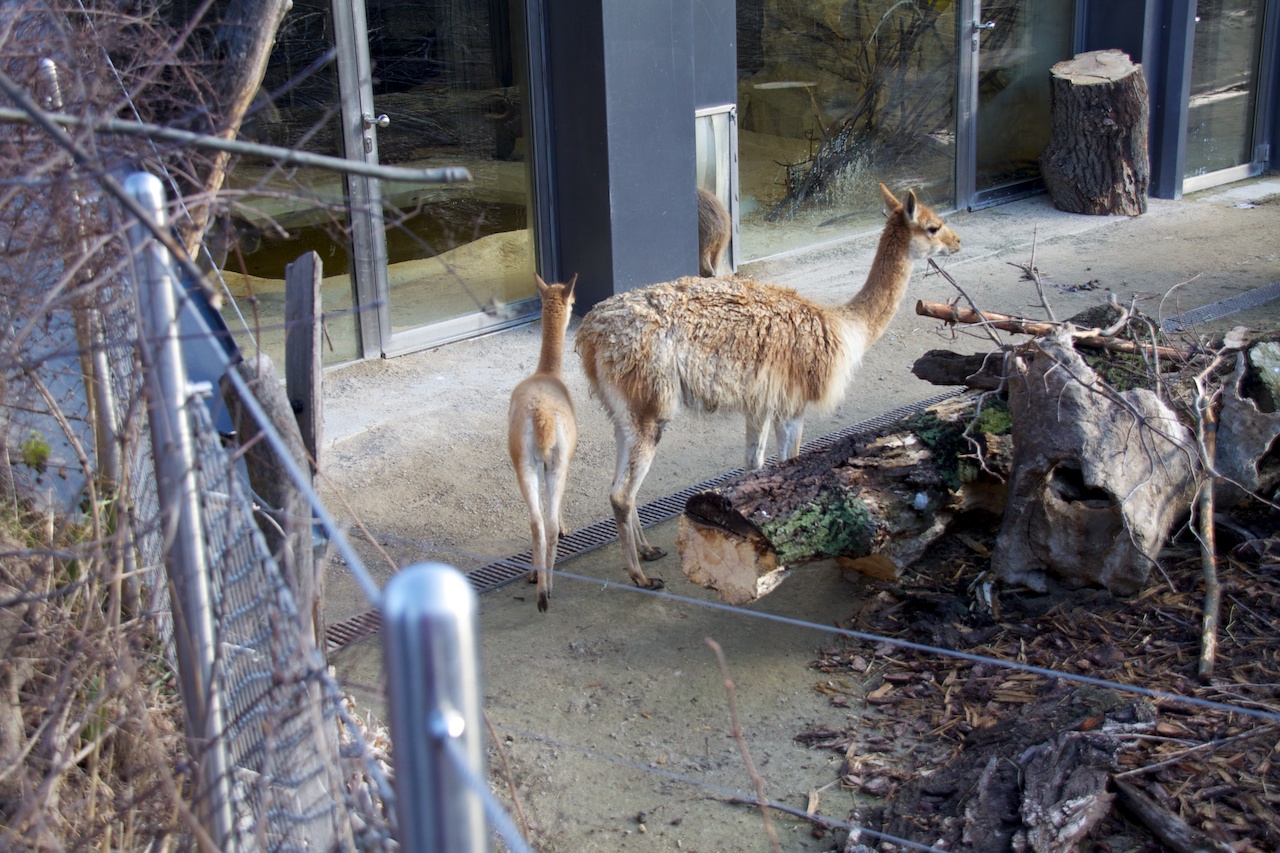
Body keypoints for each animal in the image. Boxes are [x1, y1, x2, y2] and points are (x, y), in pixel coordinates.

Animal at [575, 184, 960, 591]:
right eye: (933, 226)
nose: (957, 241)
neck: (844, 327)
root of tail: (591, 334)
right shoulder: (792, 405)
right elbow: (790, 463)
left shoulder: (760, 404)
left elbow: (753, 465)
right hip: (651, 404)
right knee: (621, 494)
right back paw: (640, 575)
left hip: (625, 411)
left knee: (618, 483)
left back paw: (648, 550)